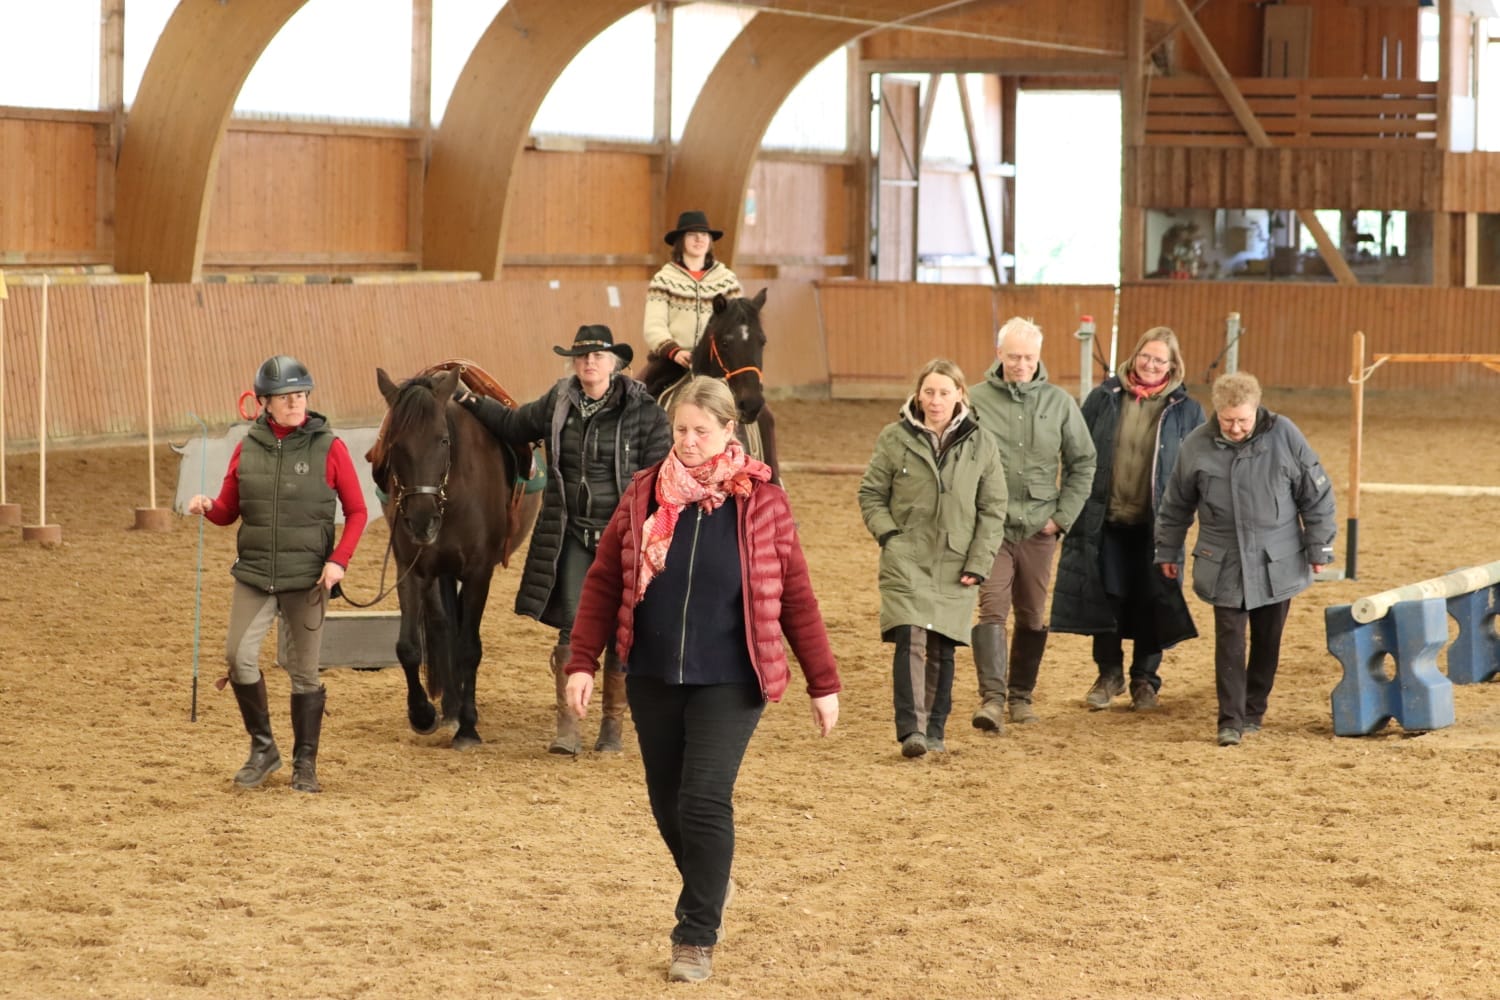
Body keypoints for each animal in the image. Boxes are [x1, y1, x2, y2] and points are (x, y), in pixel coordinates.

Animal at [373, 367, 540, 749]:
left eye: (443, 441)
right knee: (442, 624)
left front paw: (468, 727)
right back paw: (449, 708)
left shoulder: (479, 573)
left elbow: (468, 647)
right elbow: (408, 646)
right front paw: (422, 714)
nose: (422, 520)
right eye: (394, 444)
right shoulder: (411, 569)